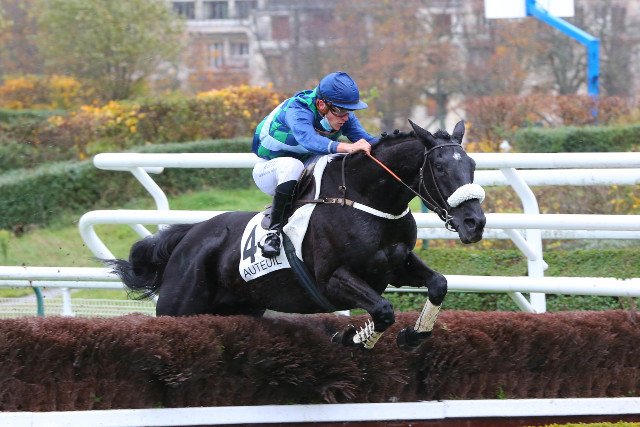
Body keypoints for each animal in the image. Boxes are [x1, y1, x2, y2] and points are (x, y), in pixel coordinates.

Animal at [106, 120, 486, 351]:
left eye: (472, 166)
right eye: (440, 167)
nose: (474, 223)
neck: (366, 200)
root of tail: (186, 239)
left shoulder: (397, 264)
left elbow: (438, 284)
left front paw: (413, 334)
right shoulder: (332, 279)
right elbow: (383, 309)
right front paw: (353, 338)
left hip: (238, 309)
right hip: (178, 308)